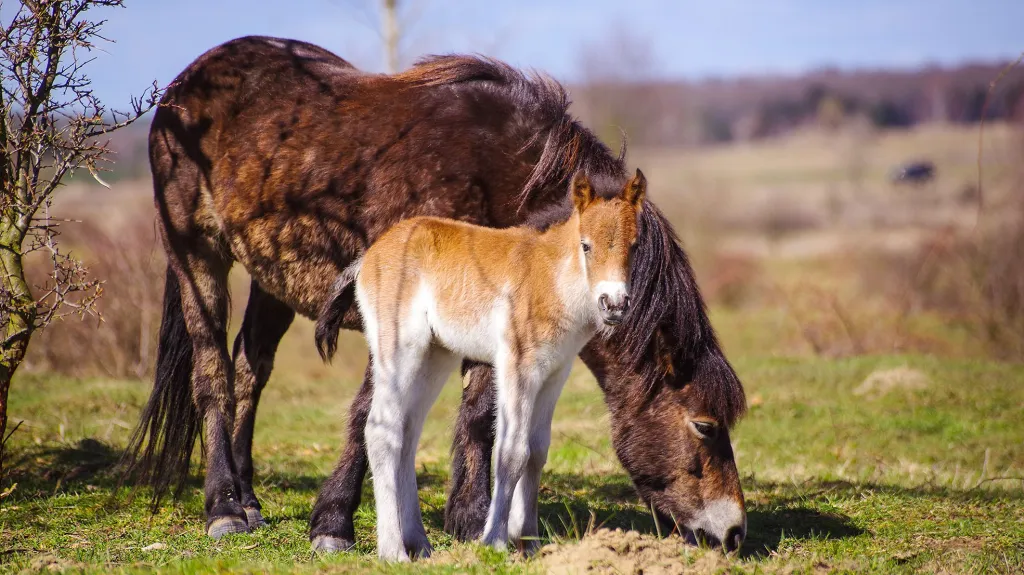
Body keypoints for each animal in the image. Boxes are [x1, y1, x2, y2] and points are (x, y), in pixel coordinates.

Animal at [123, 34, 749, 552]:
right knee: (213, 374)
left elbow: (479, 416)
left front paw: (471, 524)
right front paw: (335, 524)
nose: (734, 533)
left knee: (251, 371)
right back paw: (225, 509)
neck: (497, 173)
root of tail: (185, 83)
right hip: (196, 254)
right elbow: (370, 413)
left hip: (270, 280)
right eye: (704, 425)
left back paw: (251, 501)